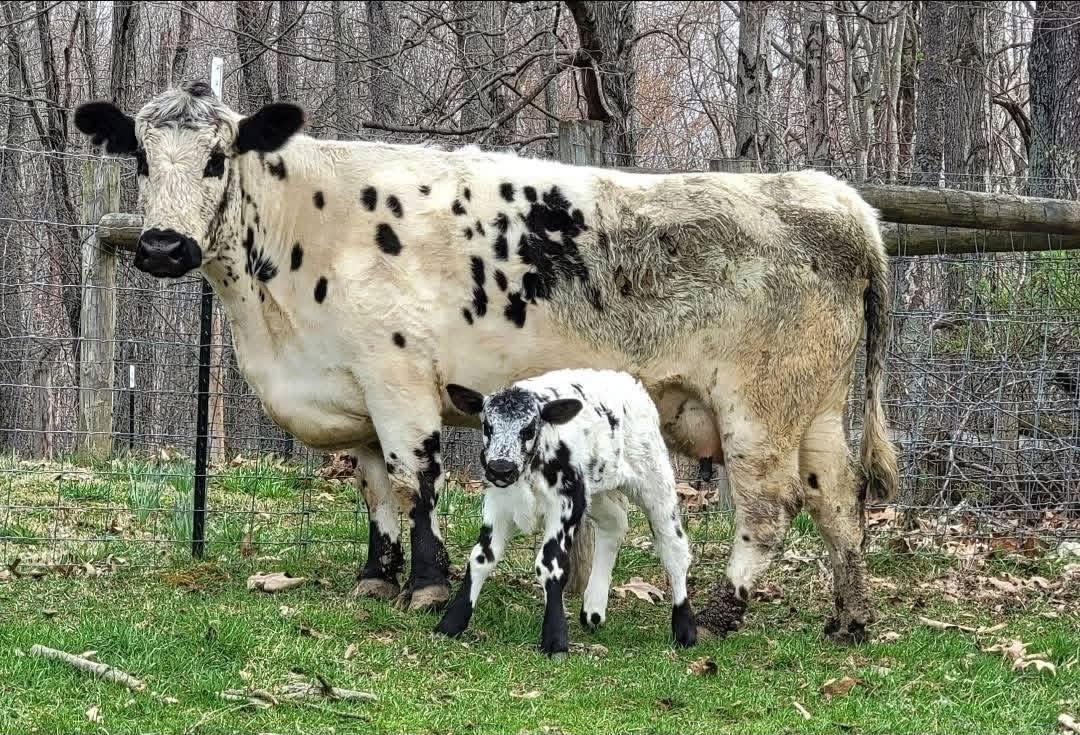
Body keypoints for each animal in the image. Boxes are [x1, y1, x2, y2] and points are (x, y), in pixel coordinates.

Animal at [74, 81, 898, 640]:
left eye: (218, 158)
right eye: (140, 154)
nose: (161, 246)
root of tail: (837, 199)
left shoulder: (398, 377)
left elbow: (415, 480)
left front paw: (429, 586)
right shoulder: (355, 394)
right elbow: (373, 489)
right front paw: (375, 576)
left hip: (760, 407)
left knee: (770, 505)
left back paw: (726, 609)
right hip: (817, 408)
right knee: (838, 498)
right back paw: (849, 618)